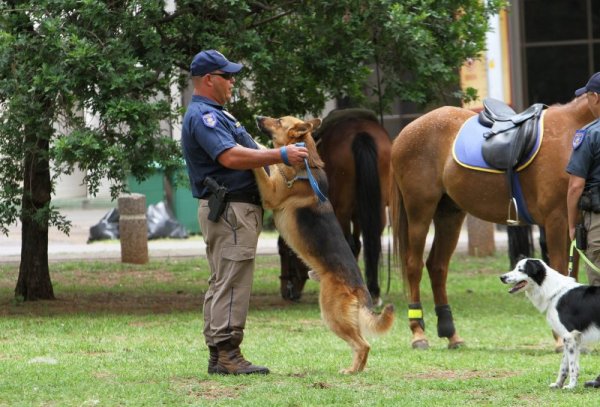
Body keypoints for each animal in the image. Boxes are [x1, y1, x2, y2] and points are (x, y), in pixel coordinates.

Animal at [278, 110, 392, 304]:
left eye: (285, 254)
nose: (287, 292)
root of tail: (361, 133)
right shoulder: (359, 214)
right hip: (377, 207)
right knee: (373, 241)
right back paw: (373, 290)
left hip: (343, 210)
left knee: (351, 244)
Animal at [392, 94, 592, 350]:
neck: (572, 131)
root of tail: (407, 131)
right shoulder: (556, 219)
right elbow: (557, 268)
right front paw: (559, 339)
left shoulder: (575, 224)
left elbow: (570, 272)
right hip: (420, 211)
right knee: (413, 266)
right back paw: (418, 333)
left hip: (450, 214)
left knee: (437, 266)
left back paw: (451, 334)